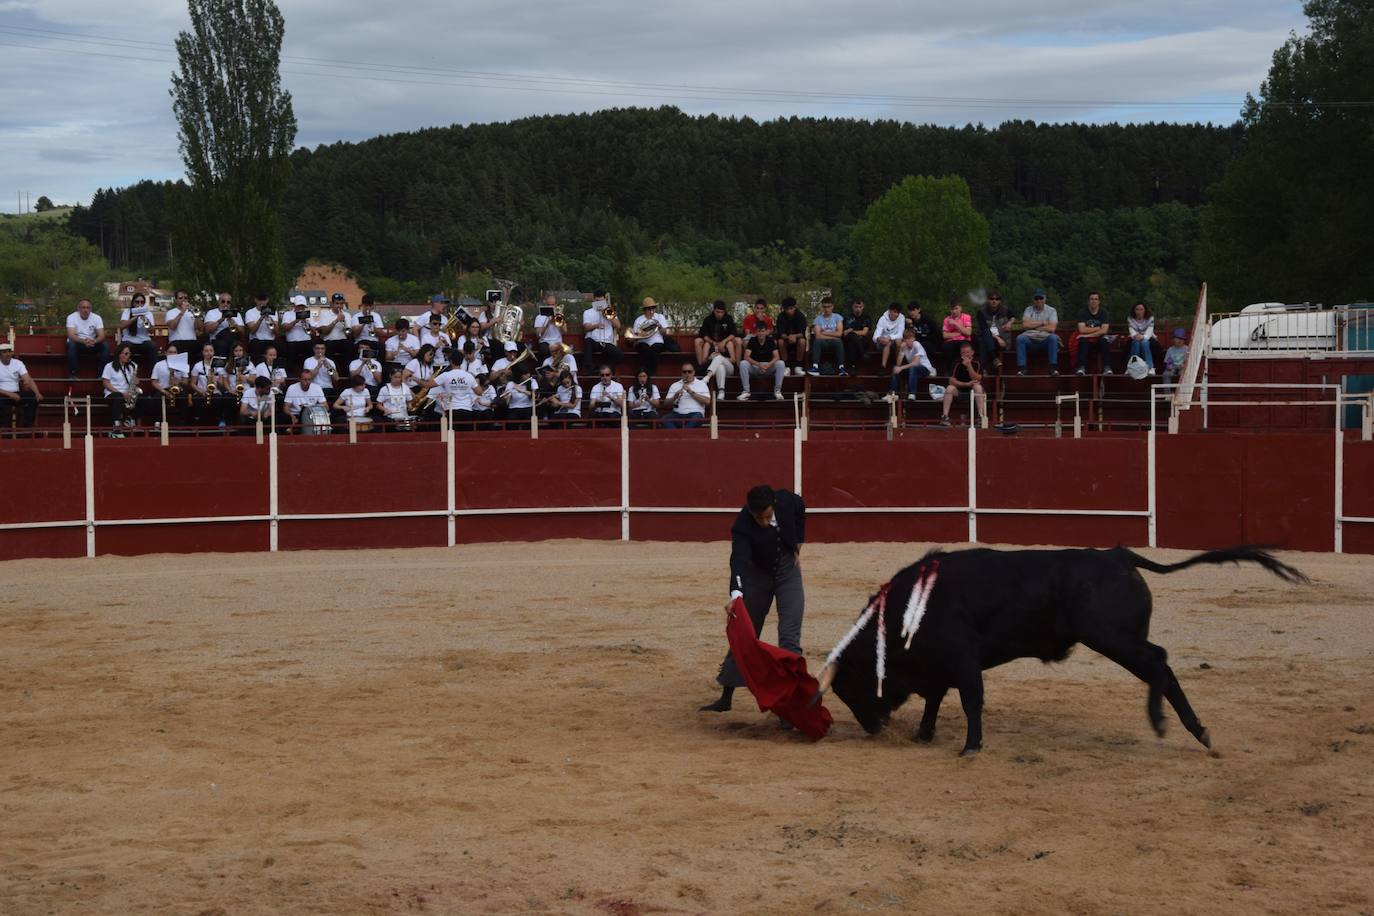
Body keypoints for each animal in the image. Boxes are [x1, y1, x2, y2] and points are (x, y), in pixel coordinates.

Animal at [813, 549, 1308, 758]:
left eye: (852, 689)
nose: (873, 728)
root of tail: (1119, 555)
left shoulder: (962, 659)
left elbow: (969, 699)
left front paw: (971, 746)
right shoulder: (942, 665)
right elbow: (937, 697)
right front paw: (924, 734)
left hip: (1109, 636)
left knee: (1158, 661)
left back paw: (1168, 723)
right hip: (1115, 636)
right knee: (1160, 664)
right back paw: (1191, 729)